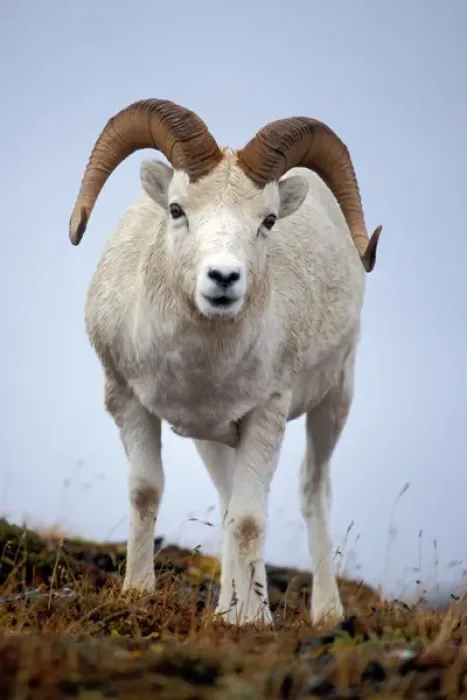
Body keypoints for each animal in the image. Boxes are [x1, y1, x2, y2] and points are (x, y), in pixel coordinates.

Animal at [68, 98, 382, 626]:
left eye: (268, 220)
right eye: (177, 209)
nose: (223, 278)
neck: (197, 367)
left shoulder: (267, 413)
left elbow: (251, 520)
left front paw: (252, 622)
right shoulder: (128, 401)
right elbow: (147, 494)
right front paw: (138, 593)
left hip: (334, 400)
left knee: (311, 491)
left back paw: (323, 613)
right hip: (214, 439)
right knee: (229, 500)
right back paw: (227, 608)